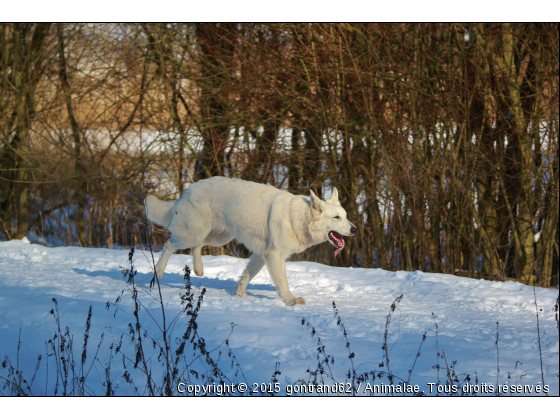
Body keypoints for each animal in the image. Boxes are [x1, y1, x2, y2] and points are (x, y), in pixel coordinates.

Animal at [144, 176, 354, 306]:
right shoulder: (274, 255)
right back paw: (159, 272)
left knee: (196, 247)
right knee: (170, 244)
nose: (354, 229)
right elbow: (283, 283)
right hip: (193, 234)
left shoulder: (261, 255)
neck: (299, 217)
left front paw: (241, 294)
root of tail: (187, 191)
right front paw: (290, 301)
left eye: (345, 216)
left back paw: (198, 269)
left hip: (218, 237)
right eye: (336, 217)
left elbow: (247, 275)